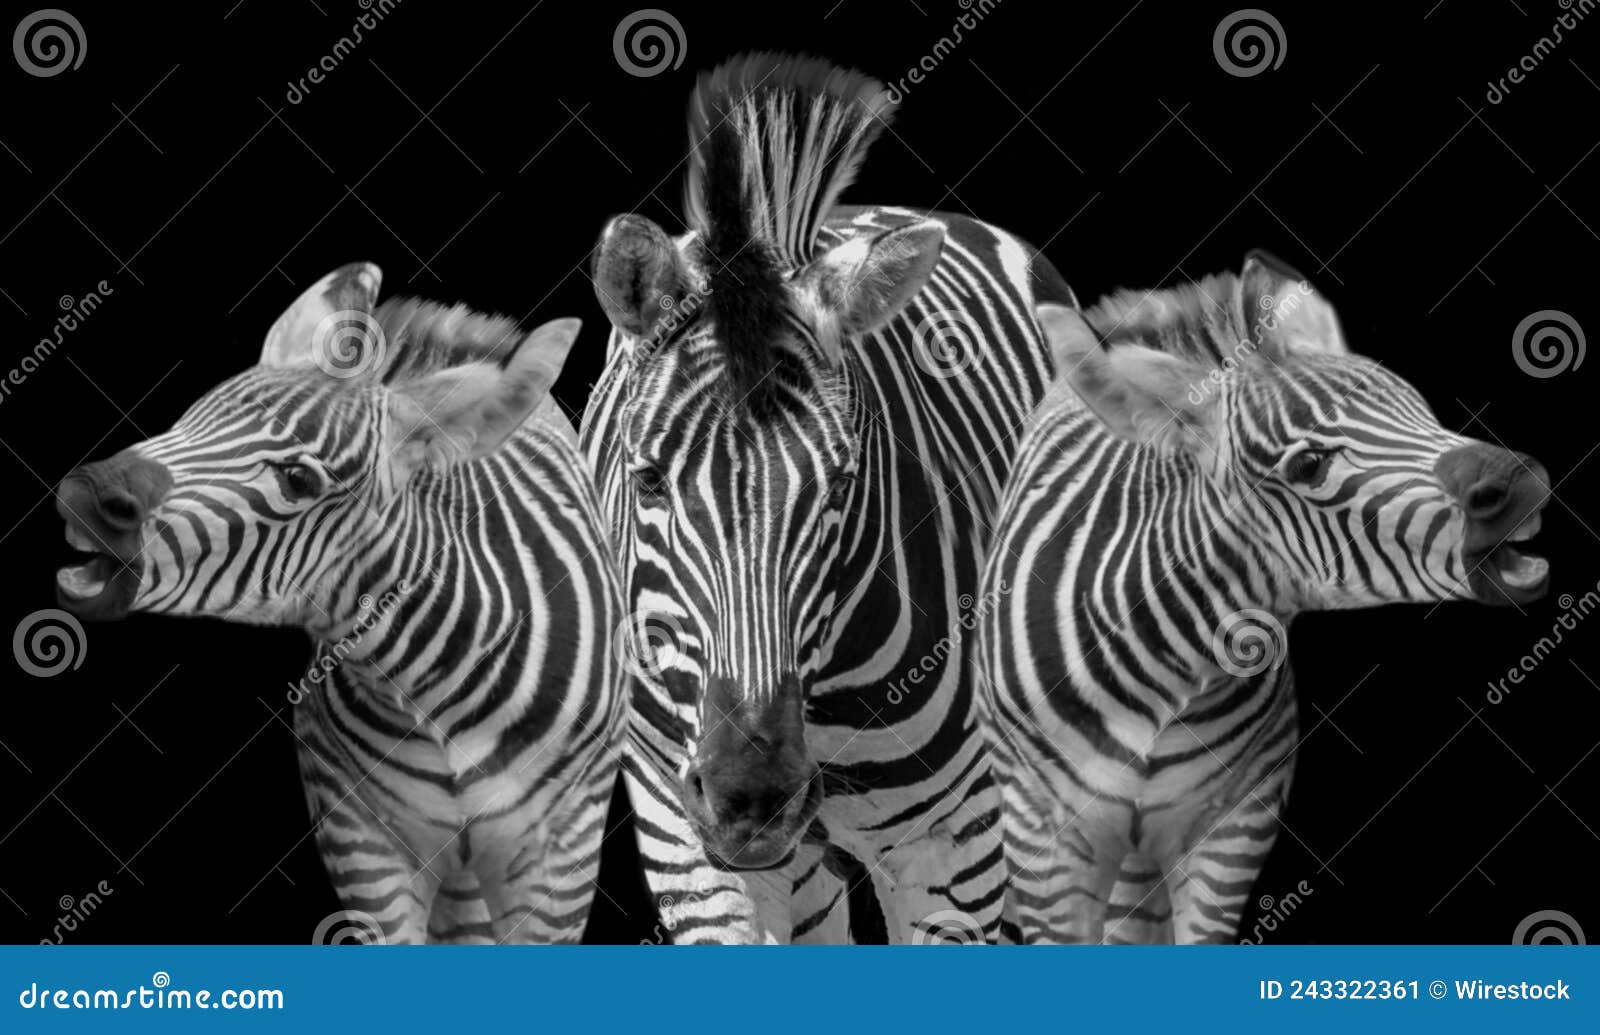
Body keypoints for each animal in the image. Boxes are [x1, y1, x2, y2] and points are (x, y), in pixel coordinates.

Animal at [52, 263, 625, 944]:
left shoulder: (560, 850)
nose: (83, 498)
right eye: (188, 420)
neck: (429, 688)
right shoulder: (357, 831)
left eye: (299, 481)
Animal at [976, 252, 1553, 943]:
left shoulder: (1236, 824)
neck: (1173, 671)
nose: (1522, 486)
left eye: (1421, 411)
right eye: (1308, 466)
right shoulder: (1043, 837)